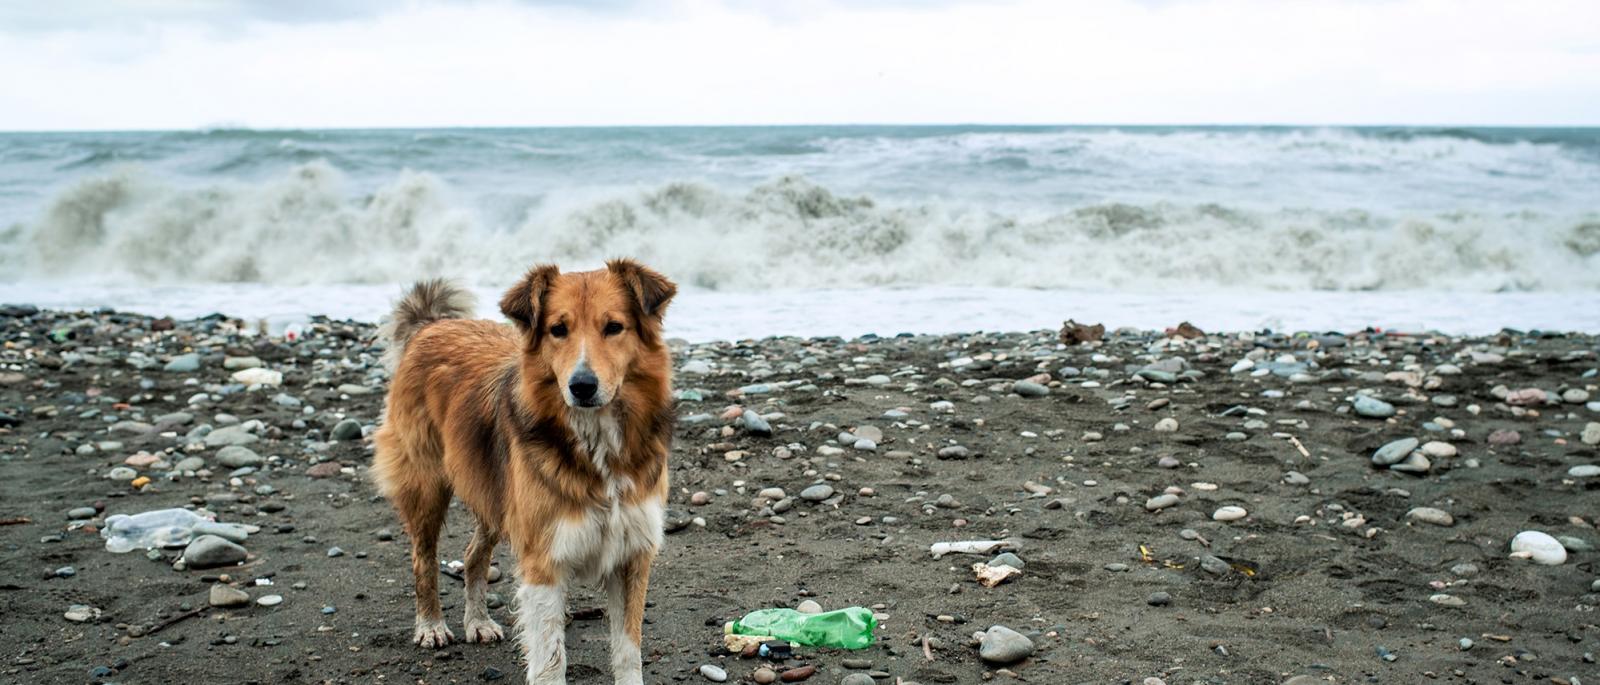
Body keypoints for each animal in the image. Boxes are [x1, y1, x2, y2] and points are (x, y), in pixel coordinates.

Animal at [372, 260, 675, 685]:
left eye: (614, 327)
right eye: (558, 329)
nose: (582, 386)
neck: (596, 446)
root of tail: (432, 325)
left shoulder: (632, 554)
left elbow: (628, 650)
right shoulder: (543, 559)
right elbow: (551, 658)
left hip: (494, 494)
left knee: (473, 556)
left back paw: (478, 621)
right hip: (427, 485)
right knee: (423, 559)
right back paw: (430, 625)